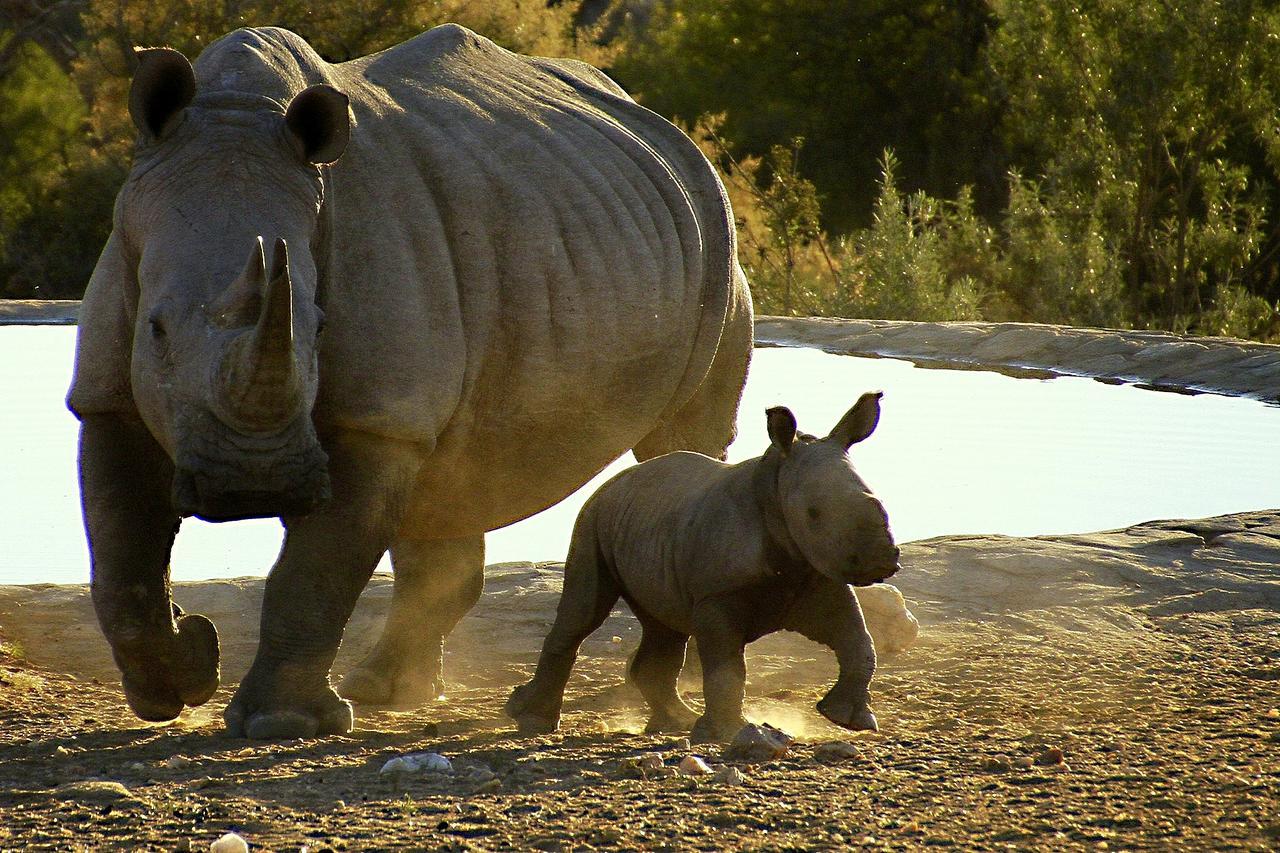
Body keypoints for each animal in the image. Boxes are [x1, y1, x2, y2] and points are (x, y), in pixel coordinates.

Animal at [506, 391, 901, 737]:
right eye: (813, 514)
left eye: (881, 502)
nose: (880, 558)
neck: (773, 490)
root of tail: (612, 483)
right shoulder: (718, 594)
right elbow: (726, 668)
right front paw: (726, 733)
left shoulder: (818, 574)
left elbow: (857, 640)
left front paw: (851, 719)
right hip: (592, 518)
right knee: (585, 610)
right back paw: (532, 722)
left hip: (650, 526)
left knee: (664, 626)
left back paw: (675, 722)